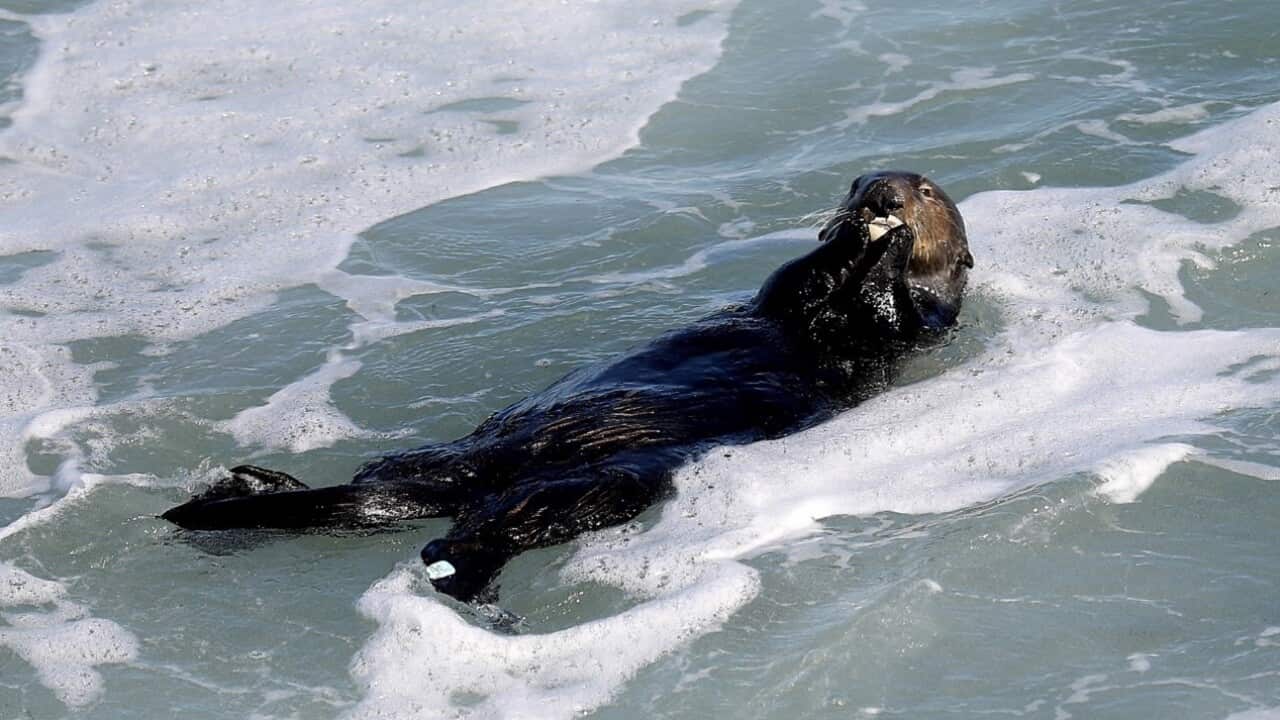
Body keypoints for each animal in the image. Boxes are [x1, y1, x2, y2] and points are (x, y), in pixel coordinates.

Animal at [163, 171, 973, 603]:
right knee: (400, 495)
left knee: (477, 526)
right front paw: (850, 240)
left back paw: (457, 575)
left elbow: (905, 317)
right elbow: (800, 283)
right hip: (455, 460)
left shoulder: (922, 330)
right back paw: (249, 484)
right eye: (856, 179)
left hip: (600, 483)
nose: (880, 194)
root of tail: (484, 476)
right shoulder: (787, 294)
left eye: (928, 190)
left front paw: (890, 252)